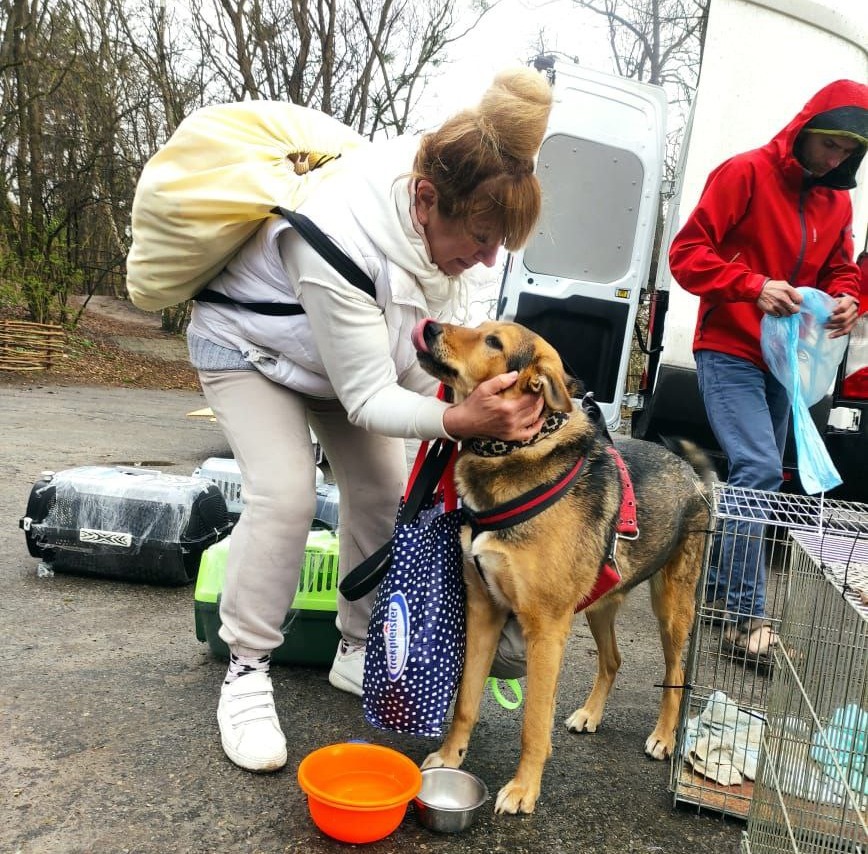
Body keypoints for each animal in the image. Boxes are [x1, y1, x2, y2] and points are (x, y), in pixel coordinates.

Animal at [412, 320, 712, 816]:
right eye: (479, 329)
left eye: (493, 342)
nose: (430, 327)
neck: (511, 450)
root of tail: (692, 472)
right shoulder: (484, 610)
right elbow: (466, 701)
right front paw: (452, 756)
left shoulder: (545, 628)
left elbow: (533, 723)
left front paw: (523, 789)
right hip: (600, 604)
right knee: (612, 659)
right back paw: (590, 714)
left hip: (671, 609)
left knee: (675, 676)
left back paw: (664, 737)